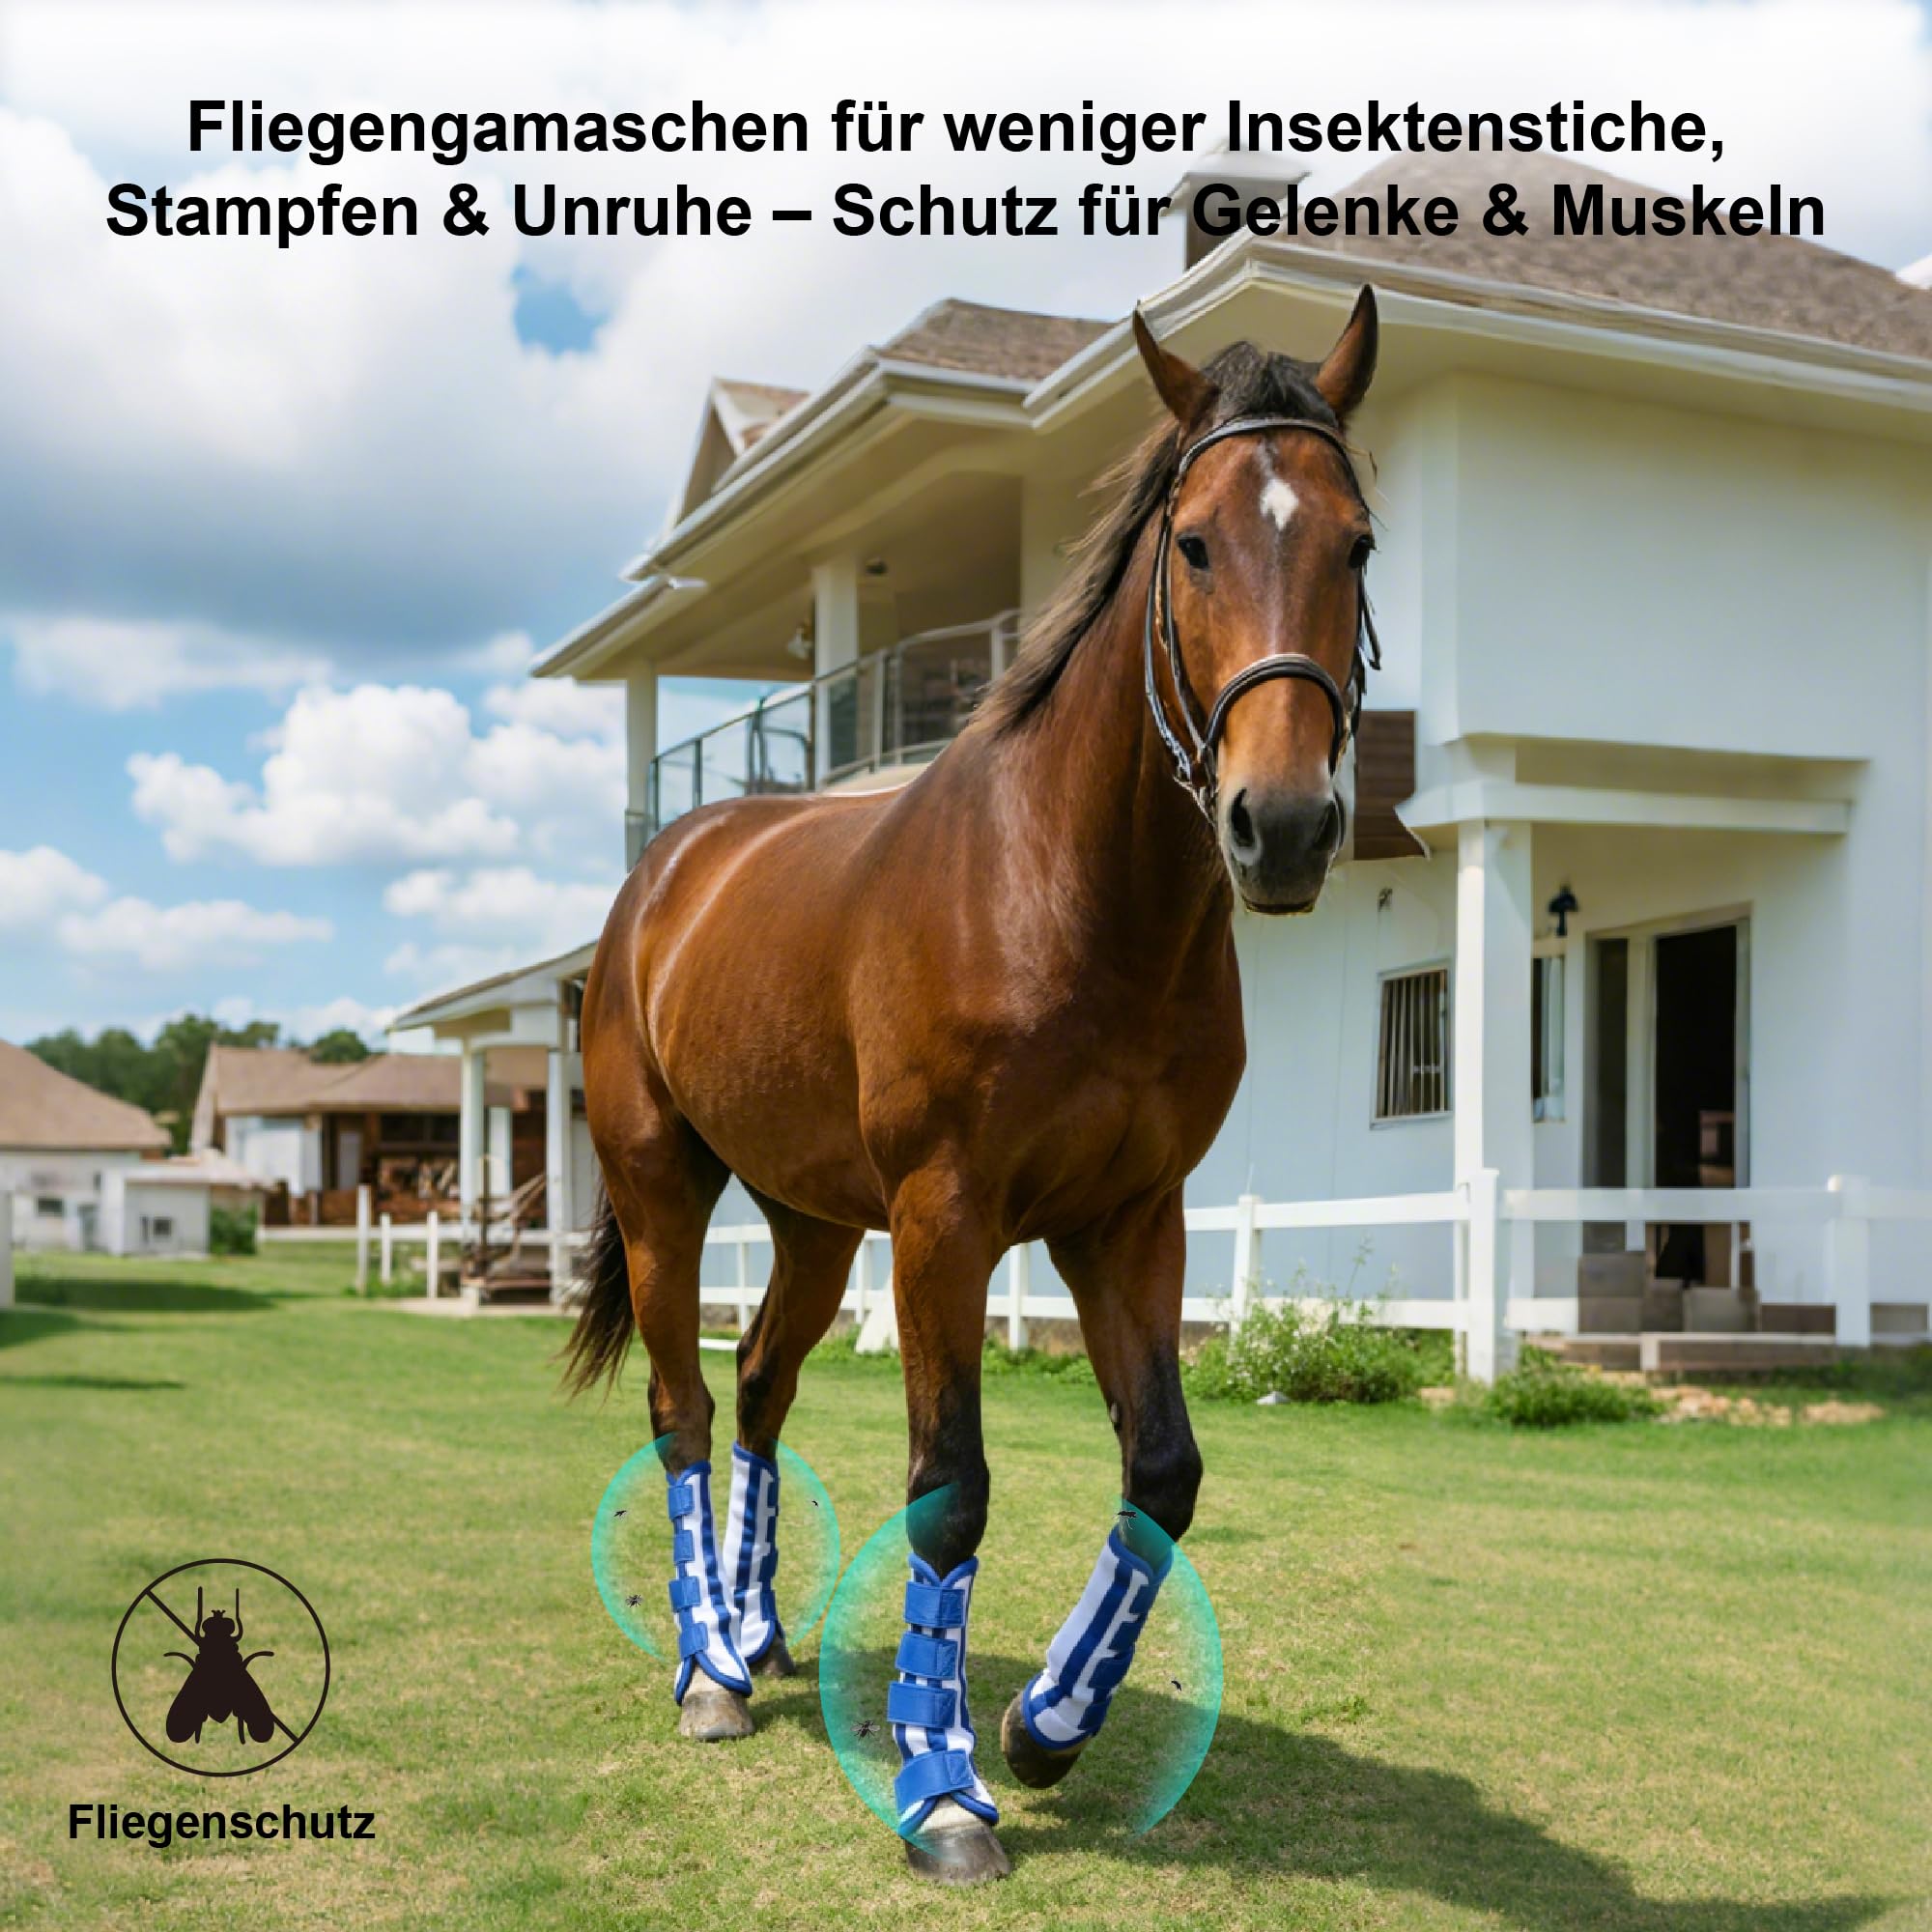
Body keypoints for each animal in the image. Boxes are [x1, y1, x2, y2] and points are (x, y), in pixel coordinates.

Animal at [565, 289, 1382, 1883]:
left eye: (1359, 541)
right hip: (659, 1190)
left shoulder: (1130, 1221)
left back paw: (760, 1631)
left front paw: (1047, 1724)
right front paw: (943, 1789)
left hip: (817, 1223)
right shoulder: (947, 1224)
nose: (1285, 824)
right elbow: (951, 1490)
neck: (1067, 893)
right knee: (685, 1410)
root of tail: (669, 874)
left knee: (760, 1386)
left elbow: (1165, 1471)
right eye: (1197, 543)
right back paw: (708, 1667)